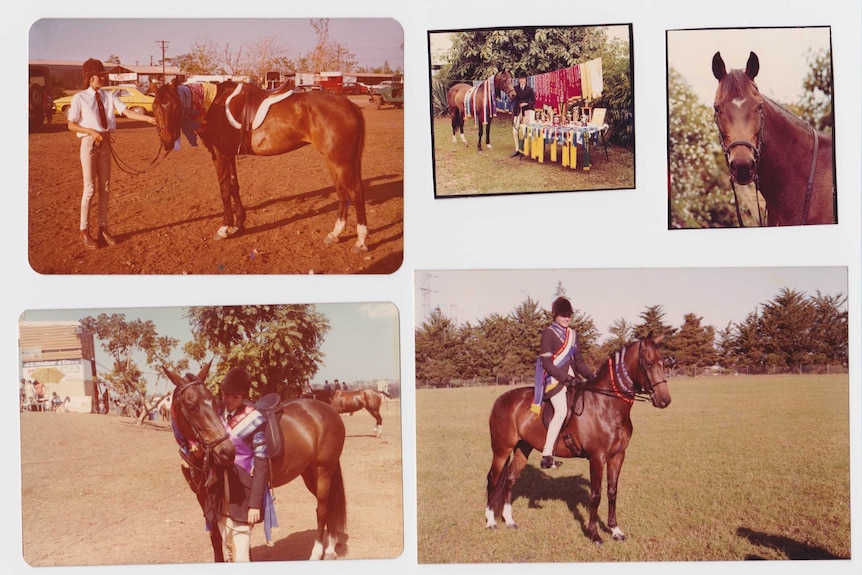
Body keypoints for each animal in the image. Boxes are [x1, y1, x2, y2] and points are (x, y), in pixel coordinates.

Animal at [154, 80, 370, 251]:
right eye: (155, 108)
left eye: (174, 107)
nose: (167, 141)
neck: (213, 106)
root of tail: (349, 104)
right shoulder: (230, 156)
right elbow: (234, 186)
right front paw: (238, 224)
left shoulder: (221, 156)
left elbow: (225, 189)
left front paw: (224, 228)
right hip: (335, 162)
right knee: (342, 193)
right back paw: (335, 234)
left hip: (340, 162)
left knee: (355, 192)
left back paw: (360, 241)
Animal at [165, 362, 348, 560]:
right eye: (191, 407)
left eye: (213, 402)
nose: (227, 451)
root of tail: (328, 410)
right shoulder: (204, 497)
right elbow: (215, 537)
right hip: (309, 472)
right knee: (328, 506)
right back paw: (330, 547)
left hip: (324, 470)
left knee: (322, 509)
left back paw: (318, 552)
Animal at [486, 336, 676, 544]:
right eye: (649, 363)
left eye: (663, 362)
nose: (665, 400)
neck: (607, 405)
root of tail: (501, 399)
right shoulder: (597, 458)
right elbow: (596, 495)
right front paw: (594, 534)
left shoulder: (618, 456)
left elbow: (612, 492)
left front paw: (615, 530)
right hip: (501, 450)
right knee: (493, 479)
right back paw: (491, 522)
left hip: (522, 448)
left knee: (510, 479)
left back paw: (509, 520)